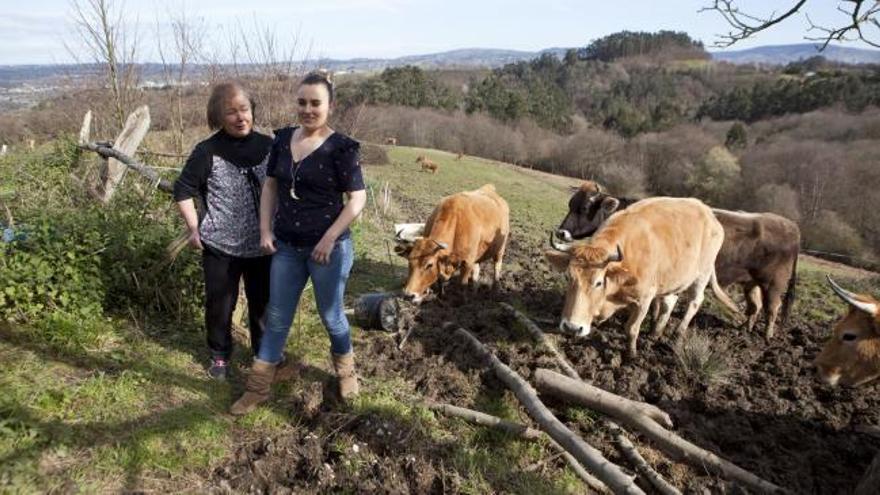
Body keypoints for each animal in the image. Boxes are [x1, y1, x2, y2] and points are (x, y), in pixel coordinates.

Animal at [560, 184, 800, 340]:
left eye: (584, 208)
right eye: (570, 204)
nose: (561, 232)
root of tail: (791, 226)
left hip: (771, 284)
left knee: (771, 309)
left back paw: (766, 337)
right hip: (752, 283)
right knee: (755, 306)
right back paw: (744, 329)